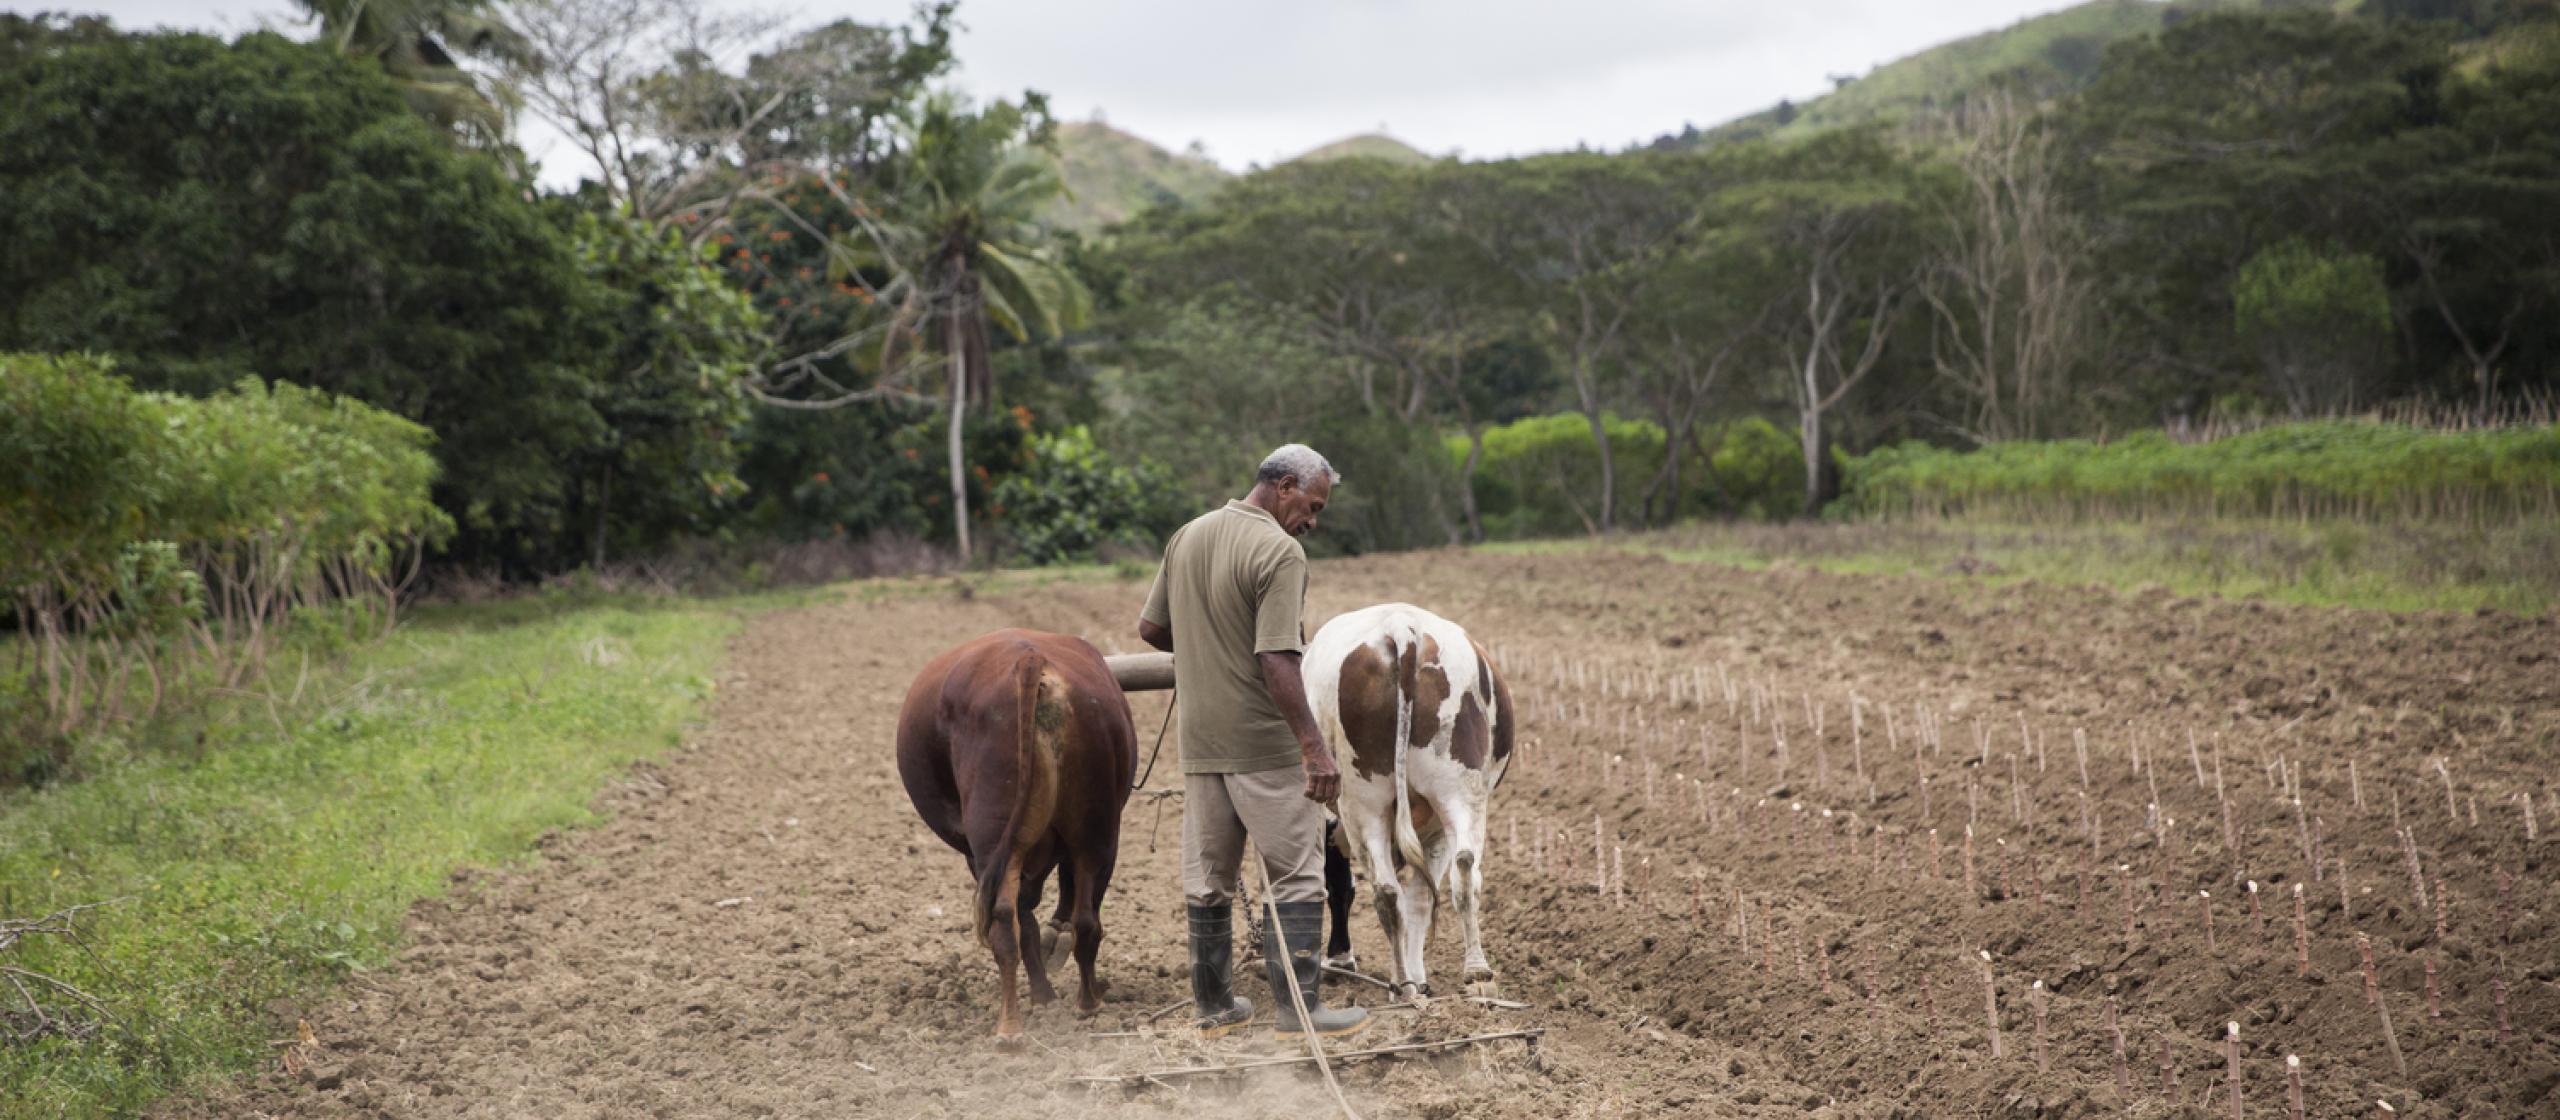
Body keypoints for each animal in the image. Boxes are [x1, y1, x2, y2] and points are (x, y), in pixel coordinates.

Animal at [1310, 603, 1505, 997]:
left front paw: (1341, 959)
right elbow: (1419, 897)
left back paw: (1406, 982)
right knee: (1461, 869)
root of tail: (1401, 629)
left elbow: (1342, 884)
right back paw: (1471, 974)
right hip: (1455, 794)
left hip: (1368, 807)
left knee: (1390, 890)